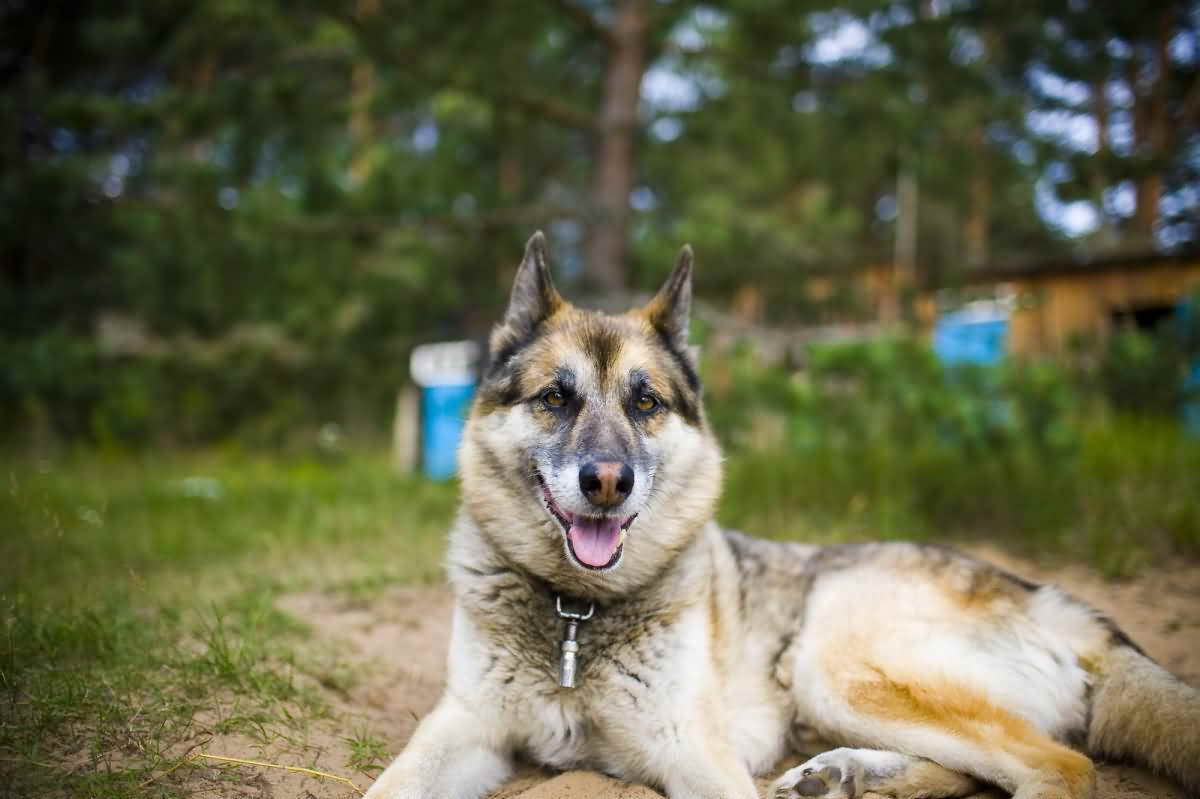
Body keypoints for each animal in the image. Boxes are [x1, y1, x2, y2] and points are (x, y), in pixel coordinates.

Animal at [364, 231, 1200, 796]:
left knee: (1060, 764)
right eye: (554, 397)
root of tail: (1055, 603)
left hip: (832, 664)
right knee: (973, 770)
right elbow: (389, 784)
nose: (608, 482)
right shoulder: (462, 726)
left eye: (645, 402)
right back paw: (850, 776)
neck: (577, 613)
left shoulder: (697, 753)